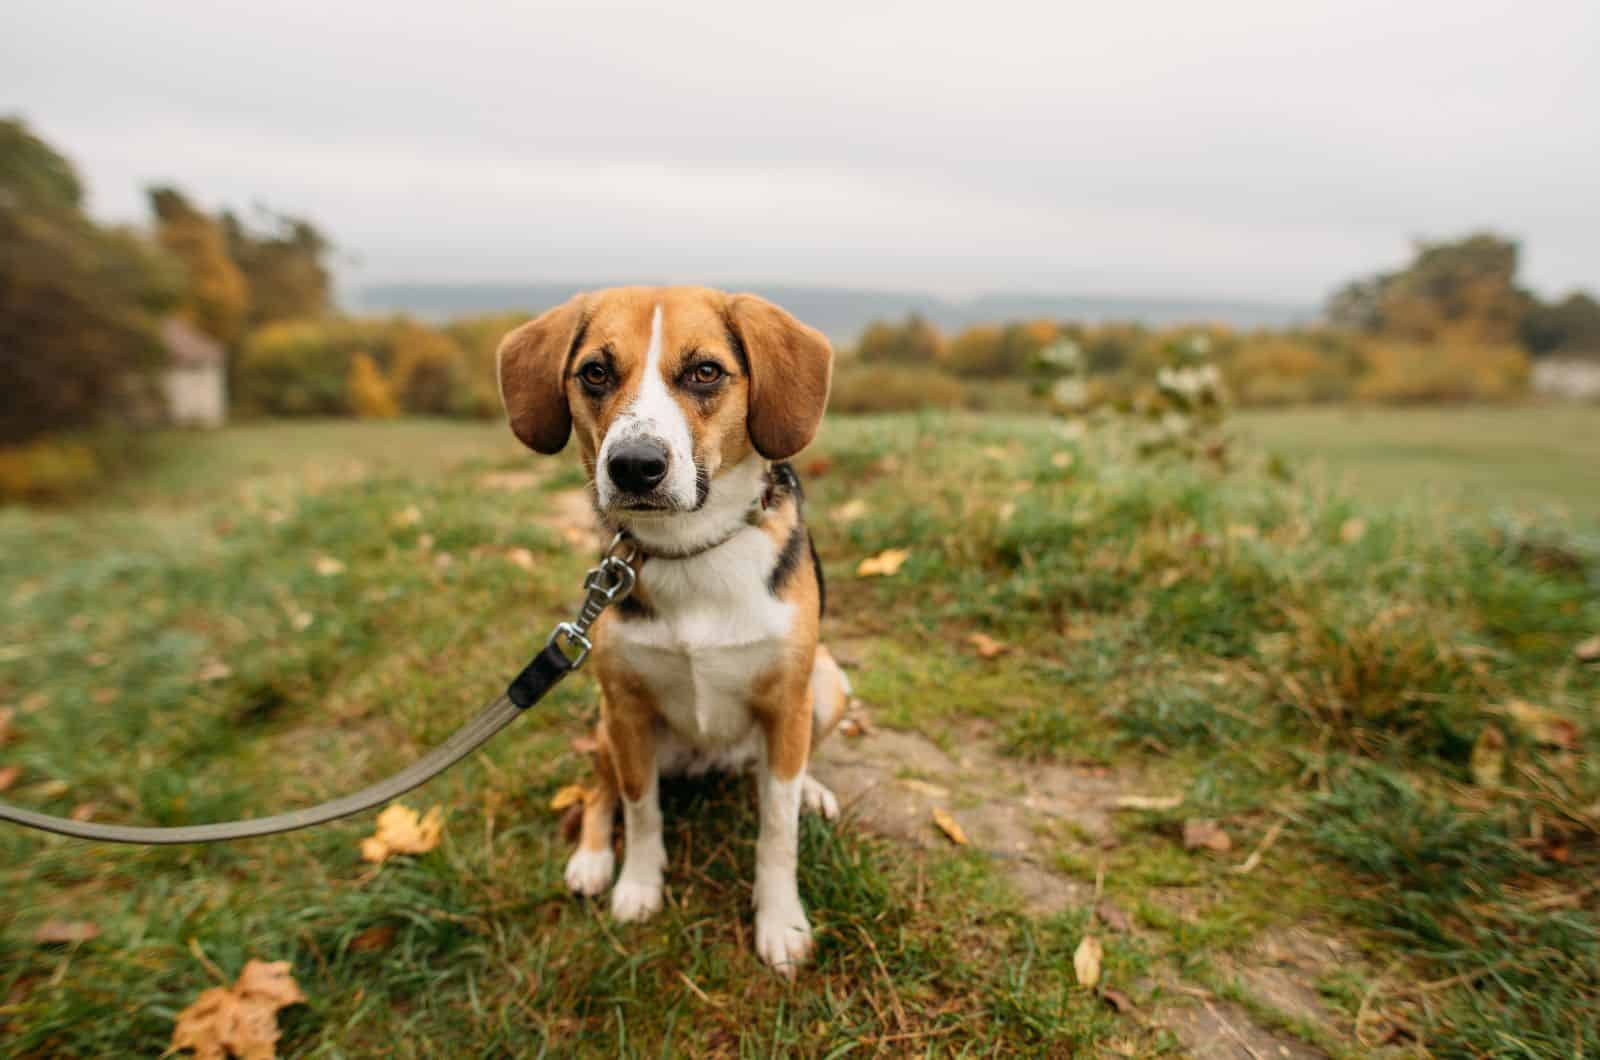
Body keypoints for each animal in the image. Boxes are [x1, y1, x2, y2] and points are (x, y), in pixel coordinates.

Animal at [496, 286, 851, 973]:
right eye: (595, 373)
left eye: (705, 371)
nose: (635, 466)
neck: (693, 549)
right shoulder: (628, 713)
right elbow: (640, 811)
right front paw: (637, 884)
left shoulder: (788, 703)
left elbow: (777, 830)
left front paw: (781, 922)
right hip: (605, 727)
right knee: (599, 793)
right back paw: (591, 859)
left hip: (827, 683)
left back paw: (814, 791)